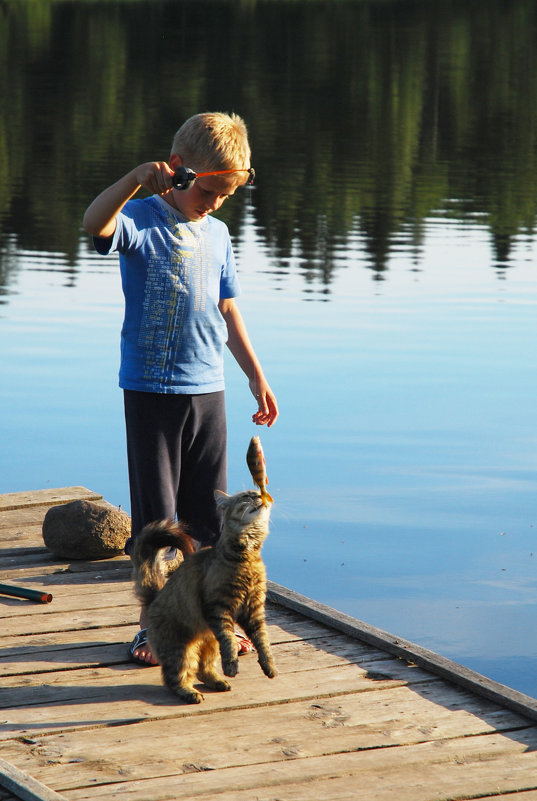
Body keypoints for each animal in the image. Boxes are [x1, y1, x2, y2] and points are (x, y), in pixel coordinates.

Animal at [133, 484, 276, 704]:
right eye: (246, 496)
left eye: (258, 492)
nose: (260, 495)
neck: (247, 557)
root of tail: (154, 598)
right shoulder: (218, 607)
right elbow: (229, 639)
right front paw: (231, 666)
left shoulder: (254, 609)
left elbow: (262, 639)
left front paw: (269, 666)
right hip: (181, 649)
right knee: (174, 677)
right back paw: (190, 692)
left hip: (209, 644)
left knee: (202, 669)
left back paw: (218, 682)